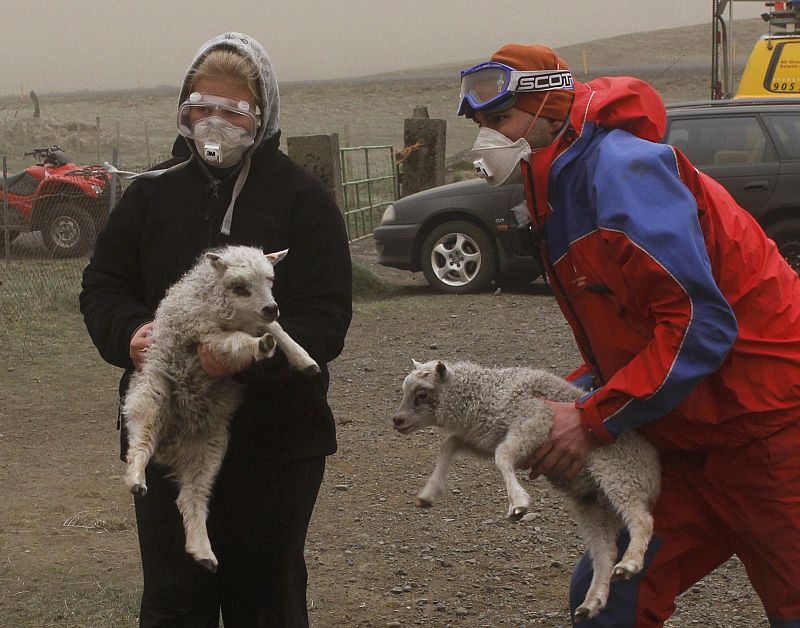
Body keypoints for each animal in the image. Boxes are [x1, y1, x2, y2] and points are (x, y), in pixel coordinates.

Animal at [122, 244, 318, 576]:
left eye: (270, 279)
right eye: (239, 287)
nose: (271, 307)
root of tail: (173, 440)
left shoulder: (254, 322)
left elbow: (277, 329)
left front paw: (304, 359)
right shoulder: (207, 339)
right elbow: (238, 342)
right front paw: (261, 346)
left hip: (209, 446)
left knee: (191, 497)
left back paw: (203, 552)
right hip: (150, 397)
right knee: (140, 445)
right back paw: (137, 480)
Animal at [390, 358, 660, 620]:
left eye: (422, 394)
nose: (397, 420)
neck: (487, 393)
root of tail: (654, 470)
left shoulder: (534, 420)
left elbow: (502, 456)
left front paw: (517, 503)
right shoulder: (486, 438)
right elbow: (450, 444)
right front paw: (428, 493)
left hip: (620, 476)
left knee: (643, 520)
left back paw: (630, 563)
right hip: (592, 505)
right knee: (605, 554)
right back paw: (591, 602)